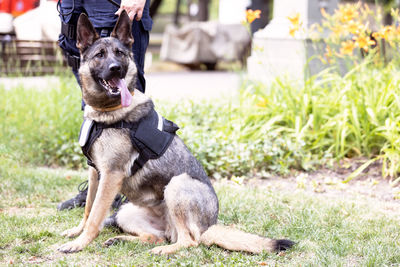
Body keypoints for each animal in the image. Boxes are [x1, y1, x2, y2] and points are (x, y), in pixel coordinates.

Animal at [57, 11, 294, 255]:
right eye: (100, 55)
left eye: (120, 54)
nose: (116, 68)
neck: (107, 113)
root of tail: (210, 226)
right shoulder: (96, 172)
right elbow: (88, 208)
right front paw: (77, 232)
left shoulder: (111, 175)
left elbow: (96, 215)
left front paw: (80, 242)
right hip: (125, 212)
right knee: (156, 236)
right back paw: (123, 240)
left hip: (177, 185)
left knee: (189, 241)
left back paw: (163, 250)